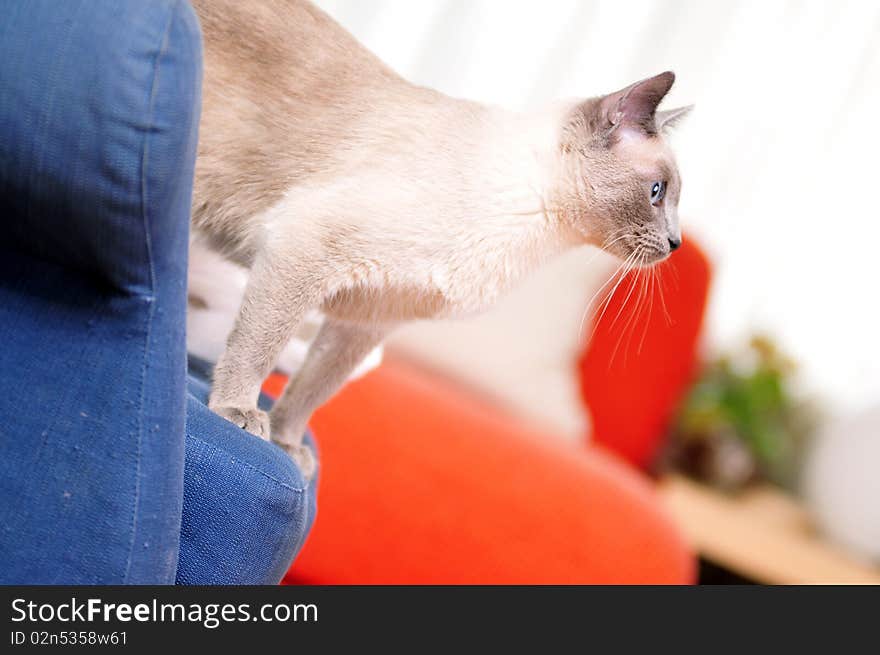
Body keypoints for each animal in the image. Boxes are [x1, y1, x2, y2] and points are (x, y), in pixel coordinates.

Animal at [189, 0, 692, 476]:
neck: (533, 235)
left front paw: (287, 446)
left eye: (671, 197)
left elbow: (313, 390)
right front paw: (238, 414)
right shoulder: (306, 249)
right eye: (656, 192)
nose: (676, 243)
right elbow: (259, 350)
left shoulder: (367, 318)